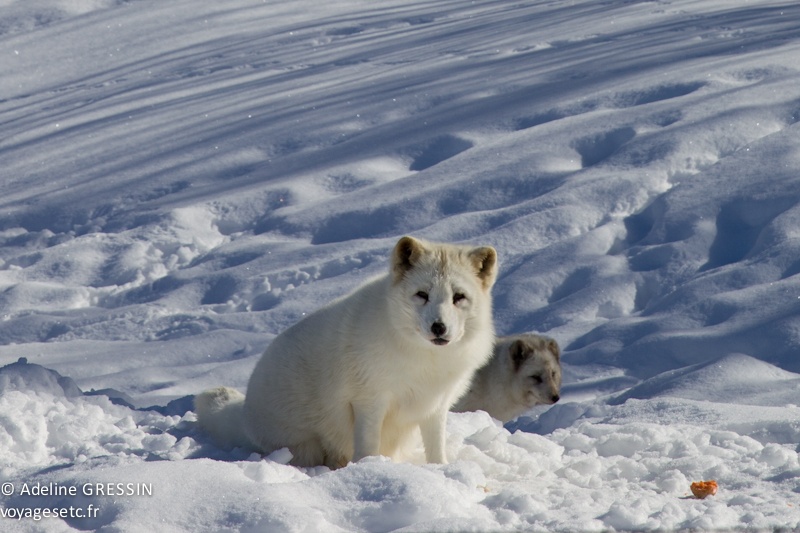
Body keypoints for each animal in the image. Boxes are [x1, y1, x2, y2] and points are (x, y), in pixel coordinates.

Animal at [195, 236, 498, 468]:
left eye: (458, 297)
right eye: (422, 295)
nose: (439, 327)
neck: (425, 360)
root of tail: (245, 411)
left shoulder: (434, 405)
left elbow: (436, 448)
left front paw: (441, 469)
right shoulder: (369, 401)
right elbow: (368, 445)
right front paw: (369, 468)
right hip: (305, 446)